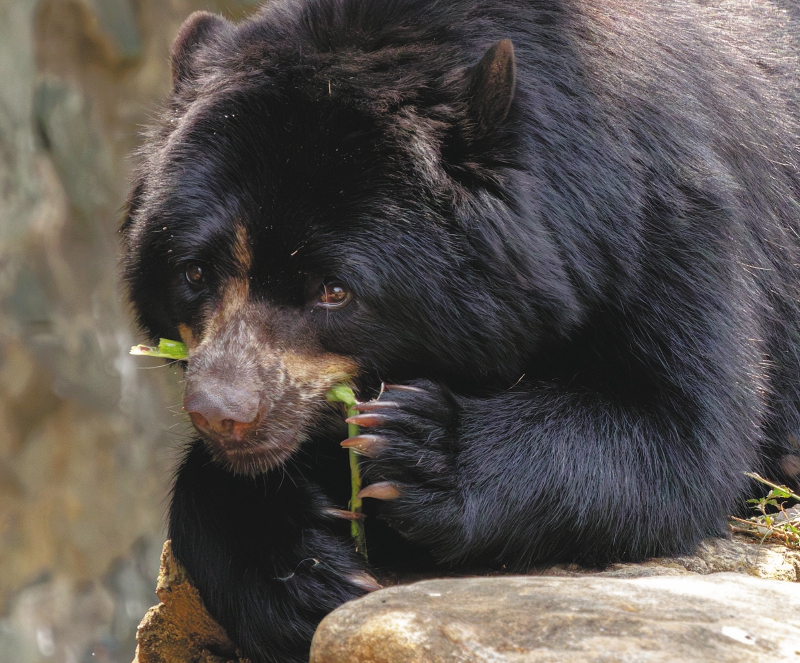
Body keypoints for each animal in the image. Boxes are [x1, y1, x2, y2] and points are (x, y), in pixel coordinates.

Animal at [122, 0, 800, 661]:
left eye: (334, 290)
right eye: (194, 271)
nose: (221, 412)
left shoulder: (666, 217)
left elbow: (680, 431)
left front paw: (413, 449)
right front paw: (305, 576)